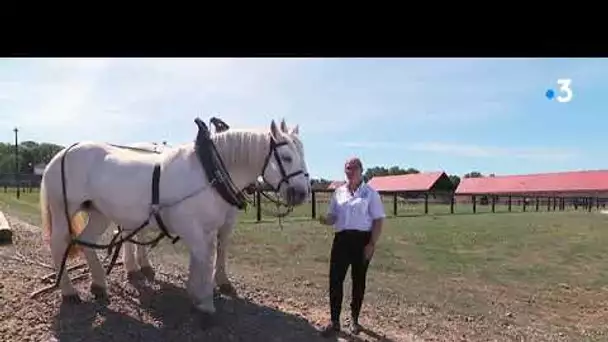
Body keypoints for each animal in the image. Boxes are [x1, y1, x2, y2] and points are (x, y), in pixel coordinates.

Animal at [40, 119, 312, 314]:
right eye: (286, 157)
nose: (301, 193)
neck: (209, 172)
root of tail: (63, 153)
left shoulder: (211, 227)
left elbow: (206, 257)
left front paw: (198, 292)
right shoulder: (191, 225)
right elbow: (205, 258)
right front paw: (205, 301)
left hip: (99, 212)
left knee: (87, 241)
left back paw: (99, 285)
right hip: (64, 209)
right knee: (59, 243)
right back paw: (69, 291)